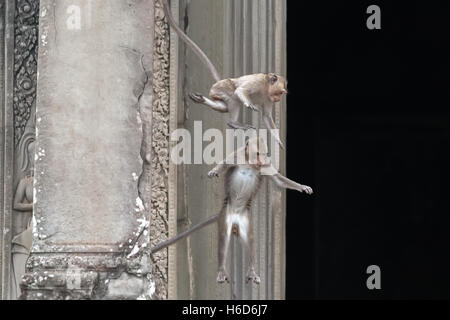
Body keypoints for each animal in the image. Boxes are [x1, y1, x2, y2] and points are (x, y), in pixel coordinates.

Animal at [163, 0, 288, 149]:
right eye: (280, 92)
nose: (279, 99)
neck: (266, 88)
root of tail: (220, 81)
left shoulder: (268, 99)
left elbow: (267, 117)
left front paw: (279, 142)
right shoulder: (257, 83)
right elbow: (240, 91)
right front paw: (249, 103)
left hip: (218, 92)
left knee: (223, 106)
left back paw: (203, 100)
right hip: (222, 87)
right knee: (234, 97)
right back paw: (232, 122)